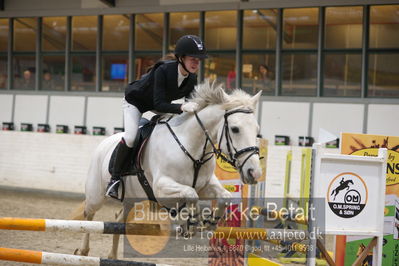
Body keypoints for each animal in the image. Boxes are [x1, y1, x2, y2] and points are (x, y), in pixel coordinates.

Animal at [73, 80, 264, 258]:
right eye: (235, 129)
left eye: (257, 130)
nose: (254, 173)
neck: (191, 146)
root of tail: (104, 143)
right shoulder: (161, 187)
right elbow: (190, 194)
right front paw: (192, 222)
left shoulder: (205, 185)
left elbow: (225, 196)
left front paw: (210, 222)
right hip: (97, 195)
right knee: (89, 215)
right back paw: (83, 250)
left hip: (132, 198)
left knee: (119, 219)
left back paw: (112, 256)